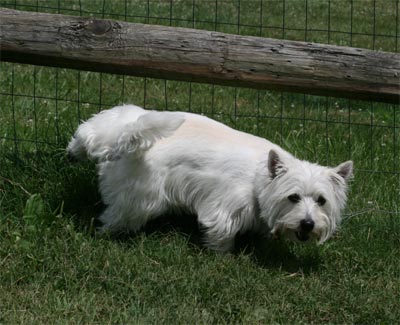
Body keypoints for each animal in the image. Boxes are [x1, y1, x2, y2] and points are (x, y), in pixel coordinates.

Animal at [68, 104, 354, 251]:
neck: (259, 178)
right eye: (293, 197)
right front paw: (223, 257)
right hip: (139, 200)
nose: (307, 224)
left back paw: (73, 152)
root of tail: (130, 144)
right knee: (116, 217)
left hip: (123, 119)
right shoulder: (225, 207)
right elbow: (221, 234)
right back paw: (104, 234)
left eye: (321, 200)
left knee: (89, 134)